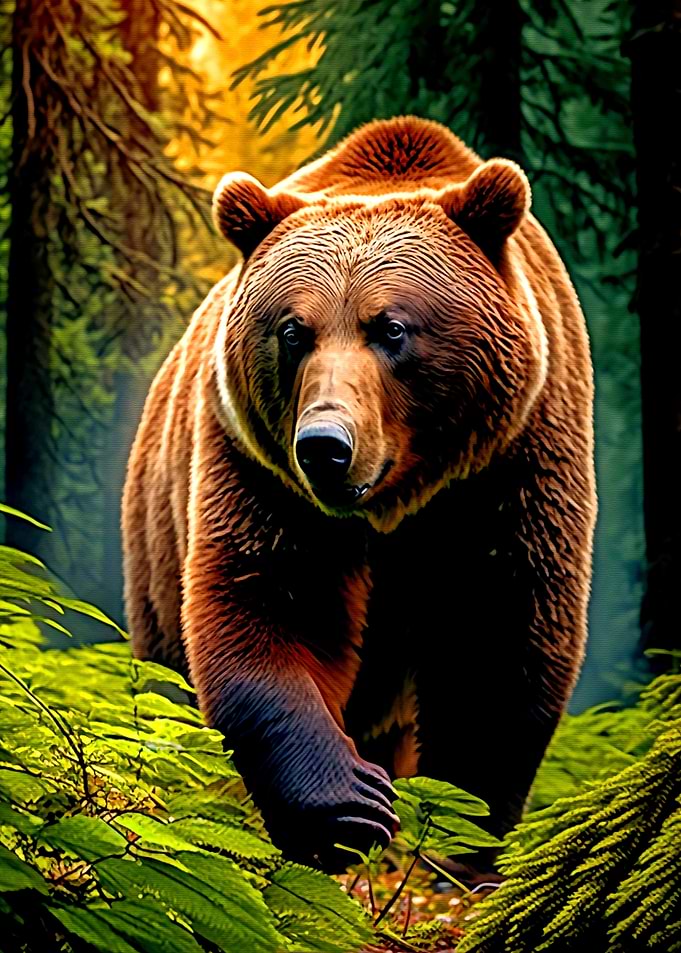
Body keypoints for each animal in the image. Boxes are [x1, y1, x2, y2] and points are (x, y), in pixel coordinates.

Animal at [122, 116, 596, 875]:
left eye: (391, 327)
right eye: (293, 330)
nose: (325, 444)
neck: (396, 503)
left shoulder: (512, 466)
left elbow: (499, 639)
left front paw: (460, 840)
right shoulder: (260, 471)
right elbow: (270, 609)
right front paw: (347, 807)